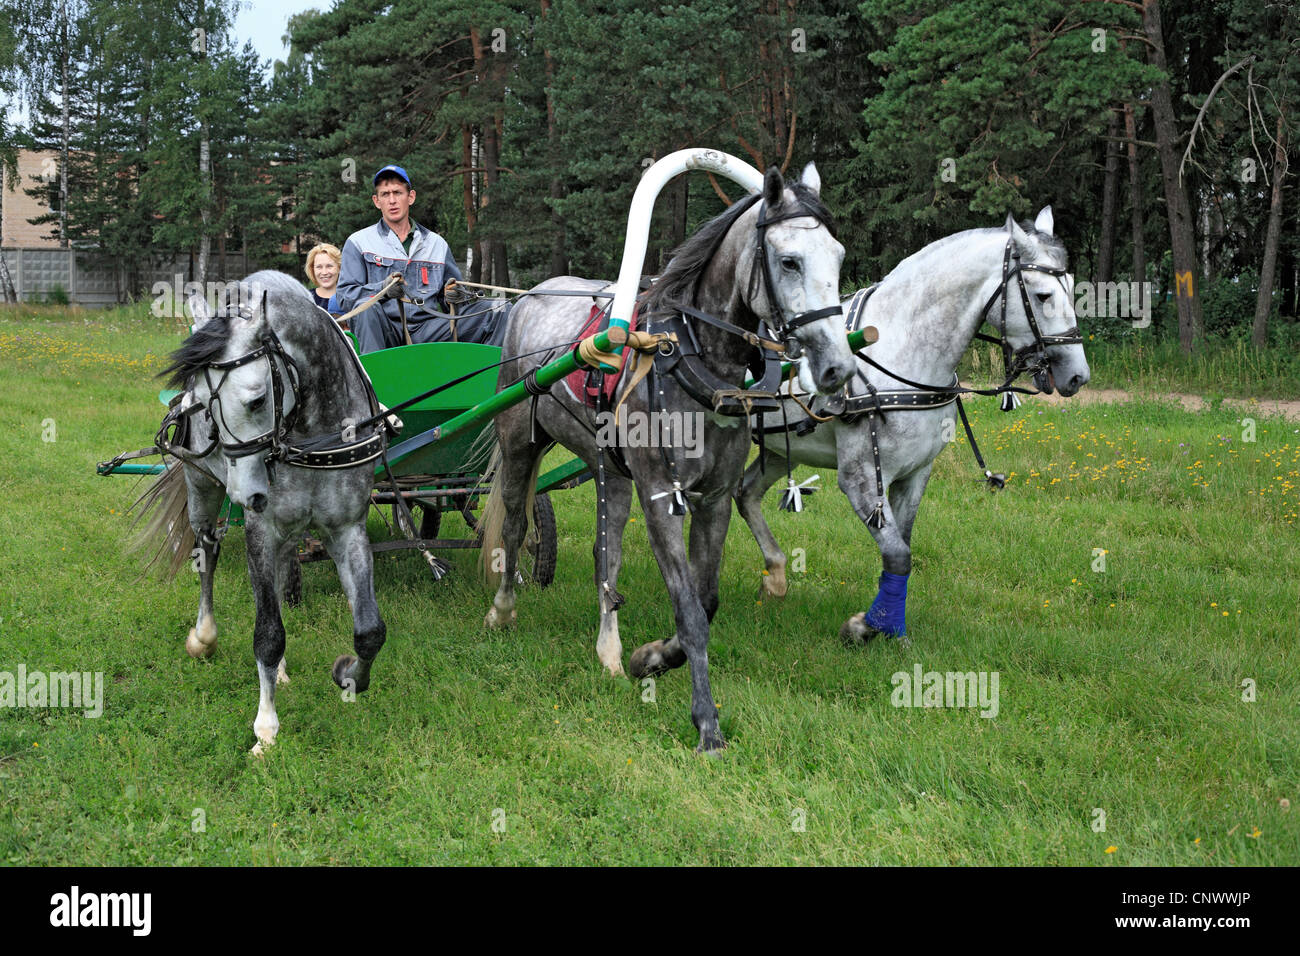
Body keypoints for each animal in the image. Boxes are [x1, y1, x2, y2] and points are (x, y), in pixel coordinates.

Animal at [137, 270, 390, 754]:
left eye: (256, 400)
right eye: (204, 404)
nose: (246, 496)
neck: (312, 435)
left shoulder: (348, 527)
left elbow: (369, 629)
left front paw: (348, 675)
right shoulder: (261, 528)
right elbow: (268, 633)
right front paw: (266, 729)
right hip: (202, 488)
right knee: (207, 554)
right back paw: (204, 637)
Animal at [478, 164, 856, 753]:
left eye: (838, 257)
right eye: (790, 260)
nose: (838, 366)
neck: (692, 360)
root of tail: (525, 299)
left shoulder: (714, 501)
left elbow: (705, 603)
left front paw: (649, 657)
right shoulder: (661, 498)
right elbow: (689, 610)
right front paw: (706, 724)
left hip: (609, 471)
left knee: (605, 555)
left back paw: (609, 652)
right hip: (520, 442)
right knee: (515, 527)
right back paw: (503, 610)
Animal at [735, 207, 1090, 644]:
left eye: (1071, 287)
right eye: (1042, 296)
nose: (1077, 375)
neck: (902, 351)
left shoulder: (916, 472)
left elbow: (901, 548)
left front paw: (889, 627)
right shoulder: (861, 478)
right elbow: (898, 555)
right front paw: (867, 626)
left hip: (776, 448)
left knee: (746, 494)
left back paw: (775, 576)